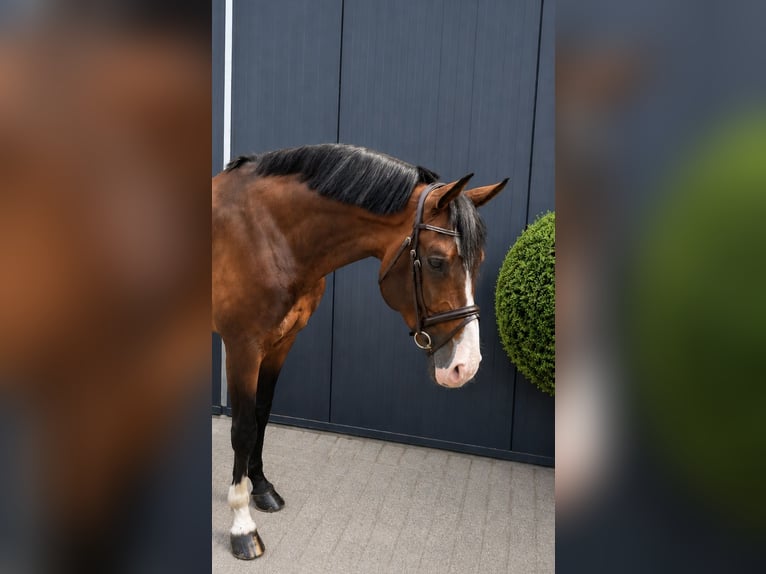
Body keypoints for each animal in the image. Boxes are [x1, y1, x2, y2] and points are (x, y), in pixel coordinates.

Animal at [212, 143, 507, 559]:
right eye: (436, 261)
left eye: (477, 262)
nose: (465, 365)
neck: (265, 234)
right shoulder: (243, 346)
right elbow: (243, 428)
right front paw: (242, 524)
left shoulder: (281, 343)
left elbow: (262, 415)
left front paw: (263, 488)